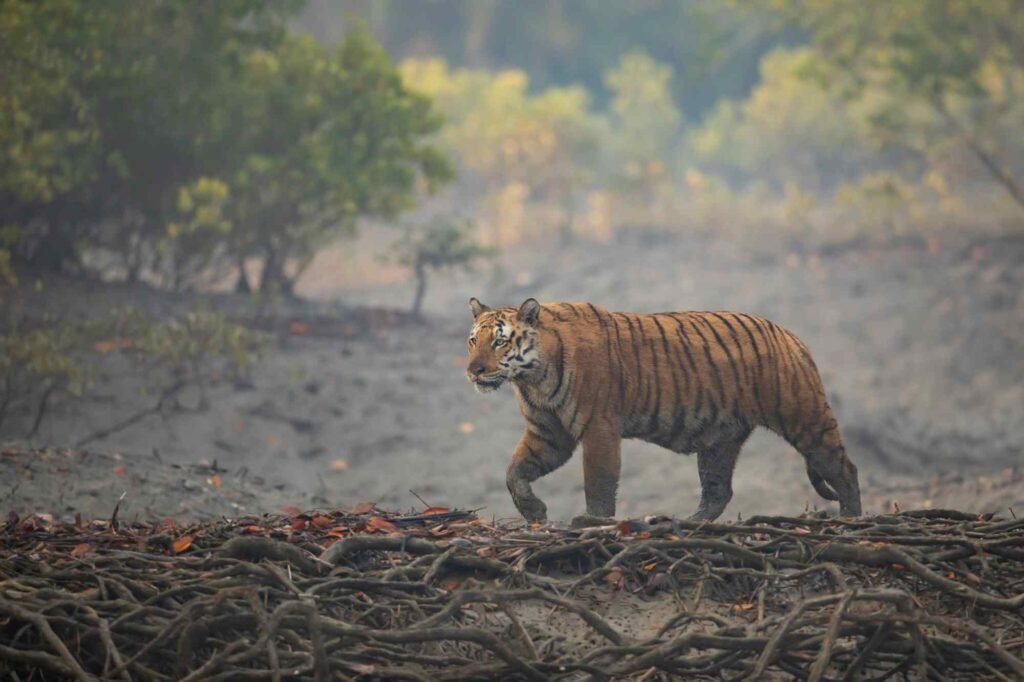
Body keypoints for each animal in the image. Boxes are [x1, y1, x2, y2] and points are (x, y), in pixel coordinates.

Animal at [466, 296, 864, 524]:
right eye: (473, 340)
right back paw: (688, 523)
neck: (532, 377)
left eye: (499, 342)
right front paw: (534, 511)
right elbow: (514, 471)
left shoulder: (598, 428)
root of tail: (791, 337)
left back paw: (851, 519)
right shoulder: (549, 433)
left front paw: (593, 521)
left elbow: (598, 483)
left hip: (805, 418)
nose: (474, 370)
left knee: (845, 468)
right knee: (718, 491)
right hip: (719, 441)